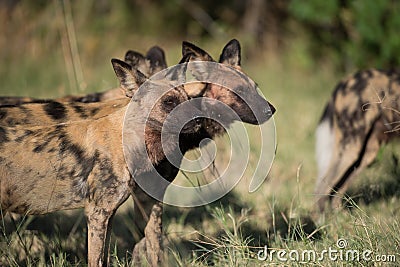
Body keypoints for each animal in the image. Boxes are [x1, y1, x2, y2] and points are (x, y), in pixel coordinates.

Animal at [0, 59, 203, 267]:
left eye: (188, 97)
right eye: (169, 102)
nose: (198, 120)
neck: (127, 140)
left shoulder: (109, 214)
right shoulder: (97, 213)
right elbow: (96, 259)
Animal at [314, 70, 400, 213]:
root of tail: (344, 82)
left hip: (366, 154)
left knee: (336, 190)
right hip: (350, 149)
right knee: (322, 188)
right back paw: (320, 219)